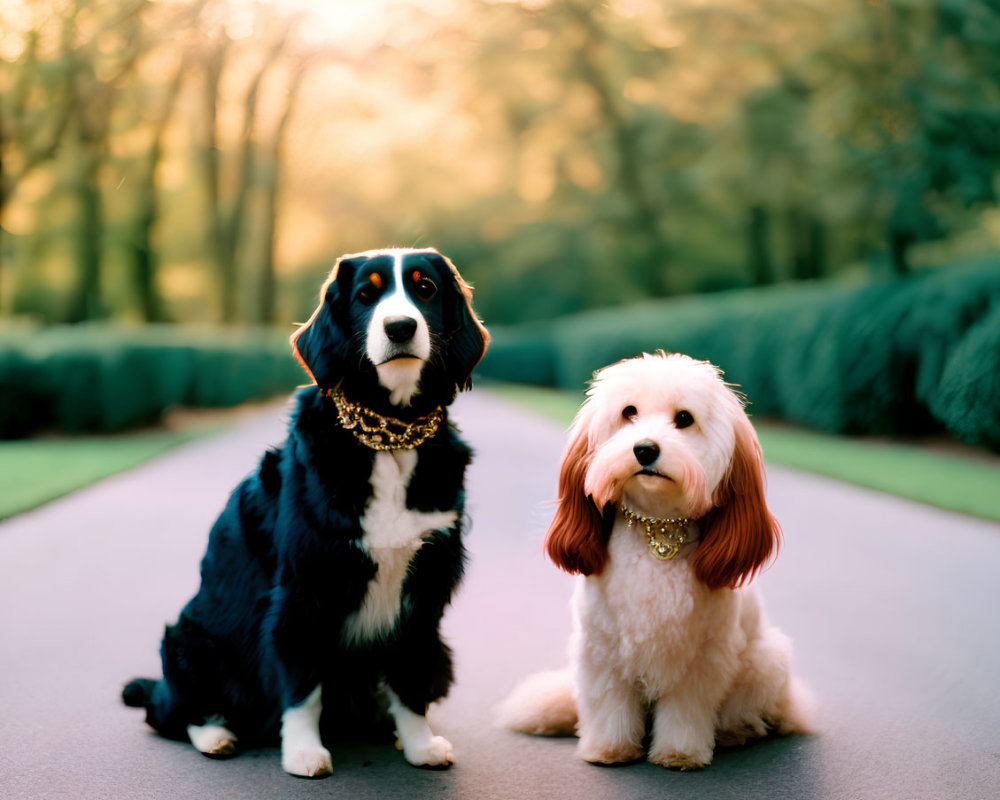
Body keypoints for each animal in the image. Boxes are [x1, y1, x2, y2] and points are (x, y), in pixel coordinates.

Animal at [123, 248, 490, 776]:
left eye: (425, 289)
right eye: (365, 294)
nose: (400, 327)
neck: (389, 437)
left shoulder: (425, 586)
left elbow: (410, 676)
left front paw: (419, 744)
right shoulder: (305, 586)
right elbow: (302, 685)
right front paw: (302, 751)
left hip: (444, 656)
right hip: (190, 642)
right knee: (168, 711)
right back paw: (215, 733)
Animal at [500, 350, 812, 768]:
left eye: (684, 418)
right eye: (628, 412)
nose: (645, 448)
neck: (657, 528)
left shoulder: (701, 659)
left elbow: (685, 710)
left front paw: (680, 752)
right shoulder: (602, 650)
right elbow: (610, 703)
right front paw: (609, 749)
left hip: (764, 662)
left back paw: (737, 732)